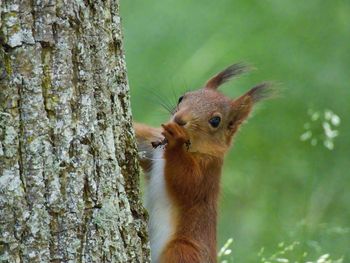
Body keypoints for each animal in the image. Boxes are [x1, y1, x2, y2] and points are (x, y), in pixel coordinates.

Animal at [134, 64, 274, 263]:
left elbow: (187, 181)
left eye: (215, 120)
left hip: (183, 250)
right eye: (182, 97)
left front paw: (176, 141)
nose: (179, 120)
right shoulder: (152, 145)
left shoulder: (207, 173)